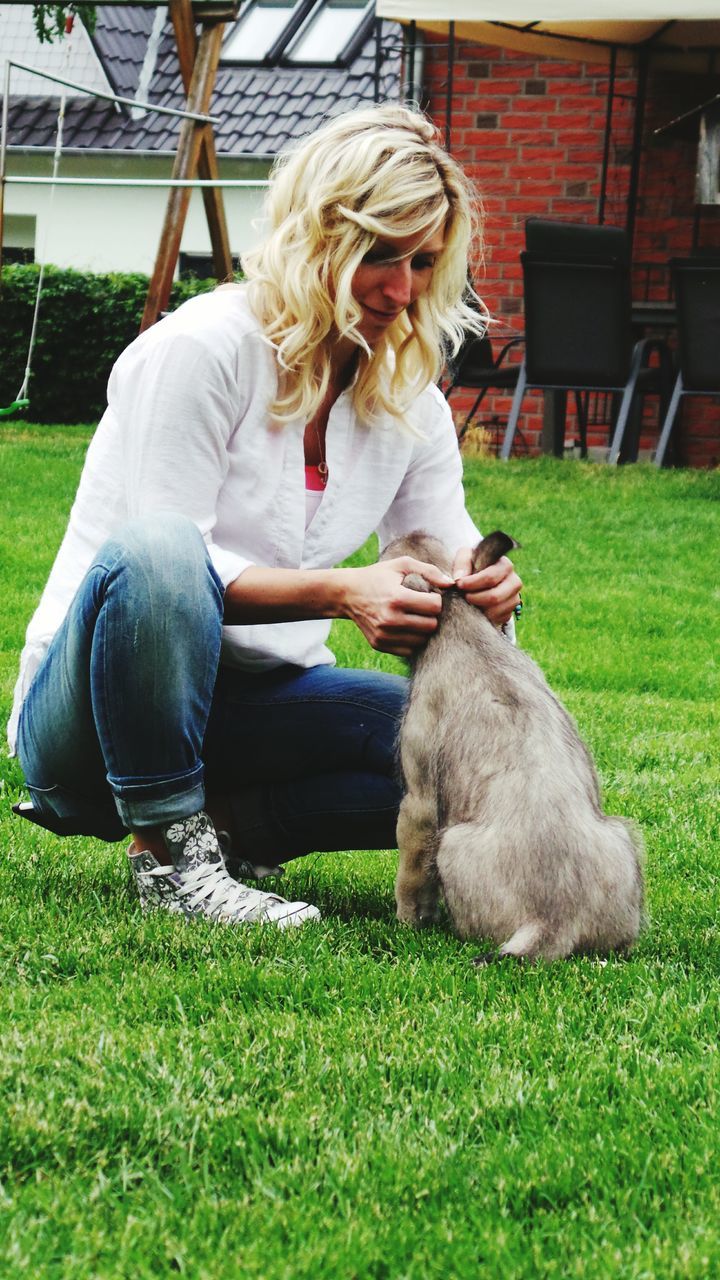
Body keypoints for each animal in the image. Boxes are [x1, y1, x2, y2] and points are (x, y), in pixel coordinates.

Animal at [384, 529, 640, 962]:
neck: (460, 622)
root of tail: (552, 922)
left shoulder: (418, 803)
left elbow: (412, 877)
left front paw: (407, 922)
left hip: (451, 843)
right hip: (621, 837)